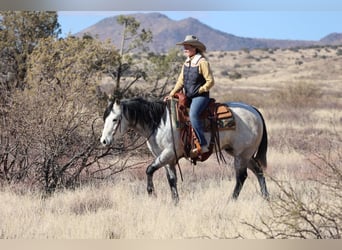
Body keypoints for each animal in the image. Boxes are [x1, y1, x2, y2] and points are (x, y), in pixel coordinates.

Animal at [100, 96, 268, 204]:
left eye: (115, 119)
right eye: (104, 118)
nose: (104, 141)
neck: (160, 122)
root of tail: (254, 110)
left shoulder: (167, 154)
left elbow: (149, 170)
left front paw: (151, 193)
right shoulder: (168, 159)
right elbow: (171, 180)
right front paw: (175, 202)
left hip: (241, 155)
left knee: (241, 177)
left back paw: (231, 200)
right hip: (243, 154)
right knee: (258, 171)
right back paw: (266, 197)